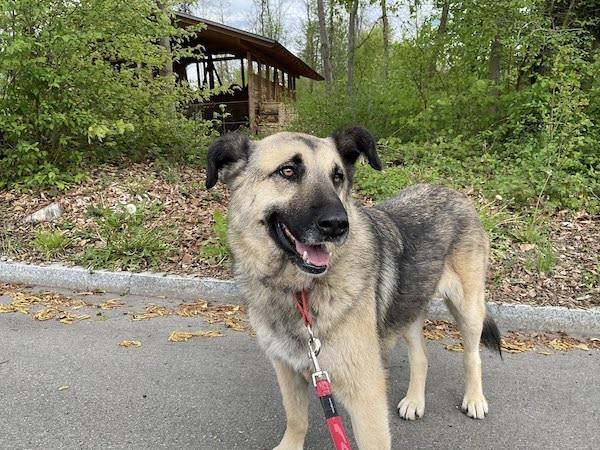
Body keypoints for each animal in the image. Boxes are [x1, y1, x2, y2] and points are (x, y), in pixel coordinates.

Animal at [205, 126, 501, 450]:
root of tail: (454, 193)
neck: (299, 291)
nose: (337, 225)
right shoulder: (288, 371)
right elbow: (296, 419)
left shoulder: (366, 396)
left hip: (467, 309)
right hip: (409, 308)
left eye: (337, 177)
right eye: (287, 171)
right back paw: (414, 400)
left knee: (471, 355)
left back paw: (474, 399)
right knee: (421, 356)